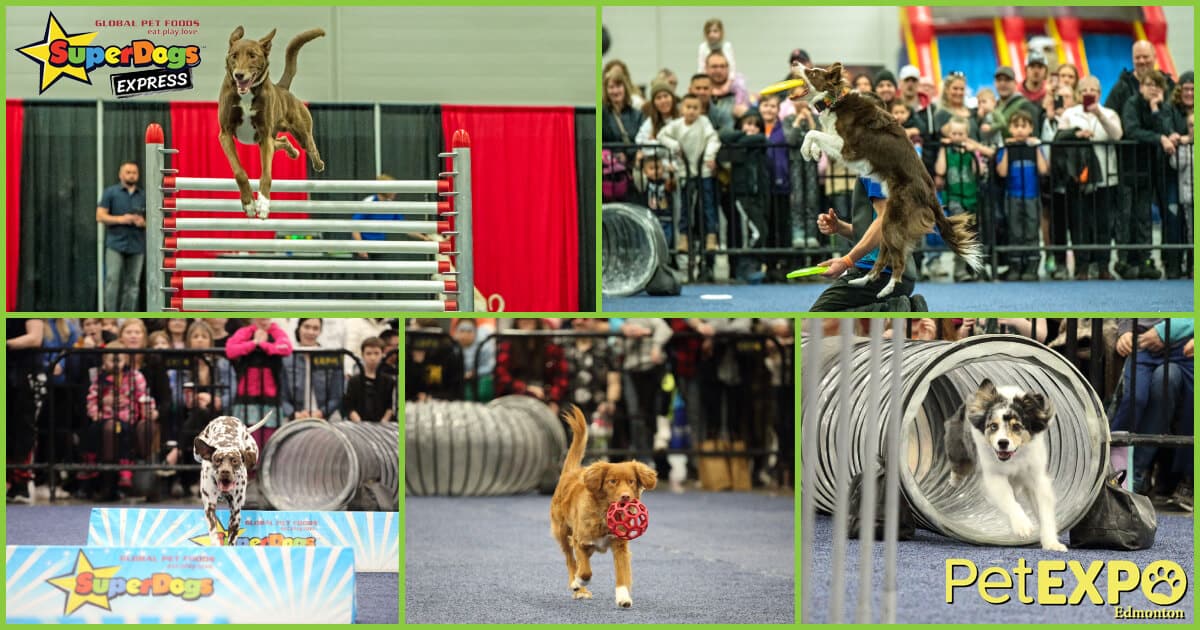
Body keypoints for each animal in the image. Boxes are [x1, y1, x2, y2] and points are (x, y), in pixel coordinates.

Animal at [193, 412, 273, 544]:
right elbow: (213, 530)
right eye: (218, 460)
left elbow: (231, 539)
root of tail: (228, 417)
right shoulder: (210, 506)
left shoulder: (235, 512)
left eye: (234, 461)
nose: (225, 472)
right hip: (196, 453)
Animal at [549, 405, 657, 607]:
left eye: (631, 481)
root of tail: (570, 472)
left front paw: (623, 597)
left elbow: (622, 574)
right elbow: (585, 571)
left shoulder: (619, 545)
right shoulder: (580, 541)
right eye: (612, 481)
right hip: (562, 532)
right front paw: (579, 582)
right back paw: (577, 587)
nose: (626, 497)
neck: (604, 513)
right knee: (570, 560)